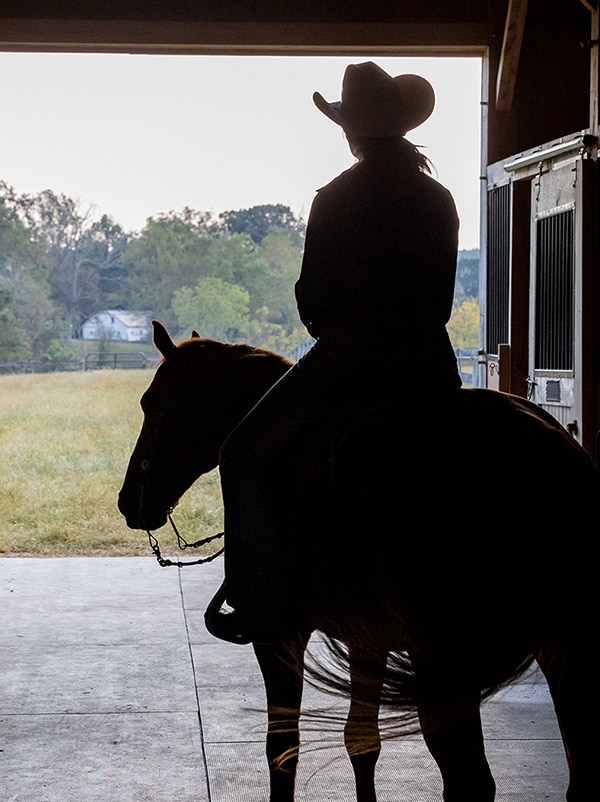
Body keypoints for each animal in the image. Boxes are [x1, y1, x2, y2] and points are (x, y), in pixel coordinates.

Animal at [118, 322, 600, 800]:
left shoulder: (278, 637)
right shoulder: (367, 639)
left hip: (443, 664)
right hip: (565, 647)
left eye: (156, 406)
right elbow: (362, 742)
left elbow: (282, 747)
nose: (128, 503)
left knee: (470, 782)